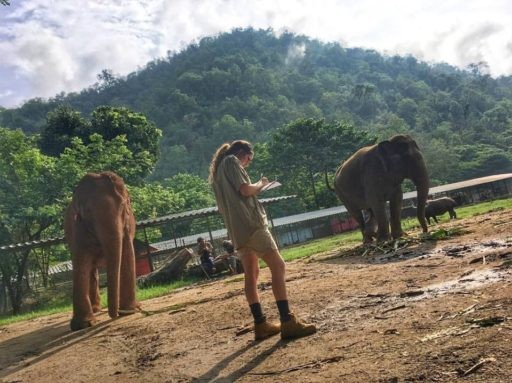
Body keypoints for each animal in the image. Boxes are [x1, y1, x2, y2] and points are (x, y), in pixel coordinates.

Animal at [64, 172, 140, 332]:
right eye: (88, 212)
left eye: (123, 205)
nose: (115, 315)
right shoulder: (78, 229)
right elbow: (80, 261)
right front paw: (83, 325)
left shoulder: (126, 225)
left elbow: (127, 253)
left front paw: (129, 310)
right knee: (91, 269)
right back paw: (96, 310)